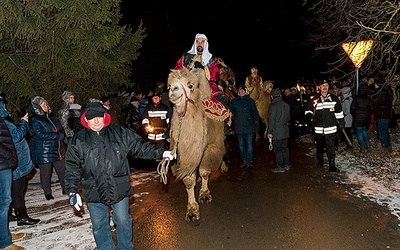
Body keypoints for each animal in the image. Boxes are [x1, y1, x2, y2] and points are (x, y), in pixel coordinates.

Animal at [166, 67, 228, 222]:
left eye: (190, 85)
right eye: (169, 86)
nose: (173, 90)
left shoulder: (211, 146)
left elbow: (205, 171)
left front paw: (205, 195)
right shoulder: (184, 152)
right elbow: (189, 180)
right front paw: (192, 211)